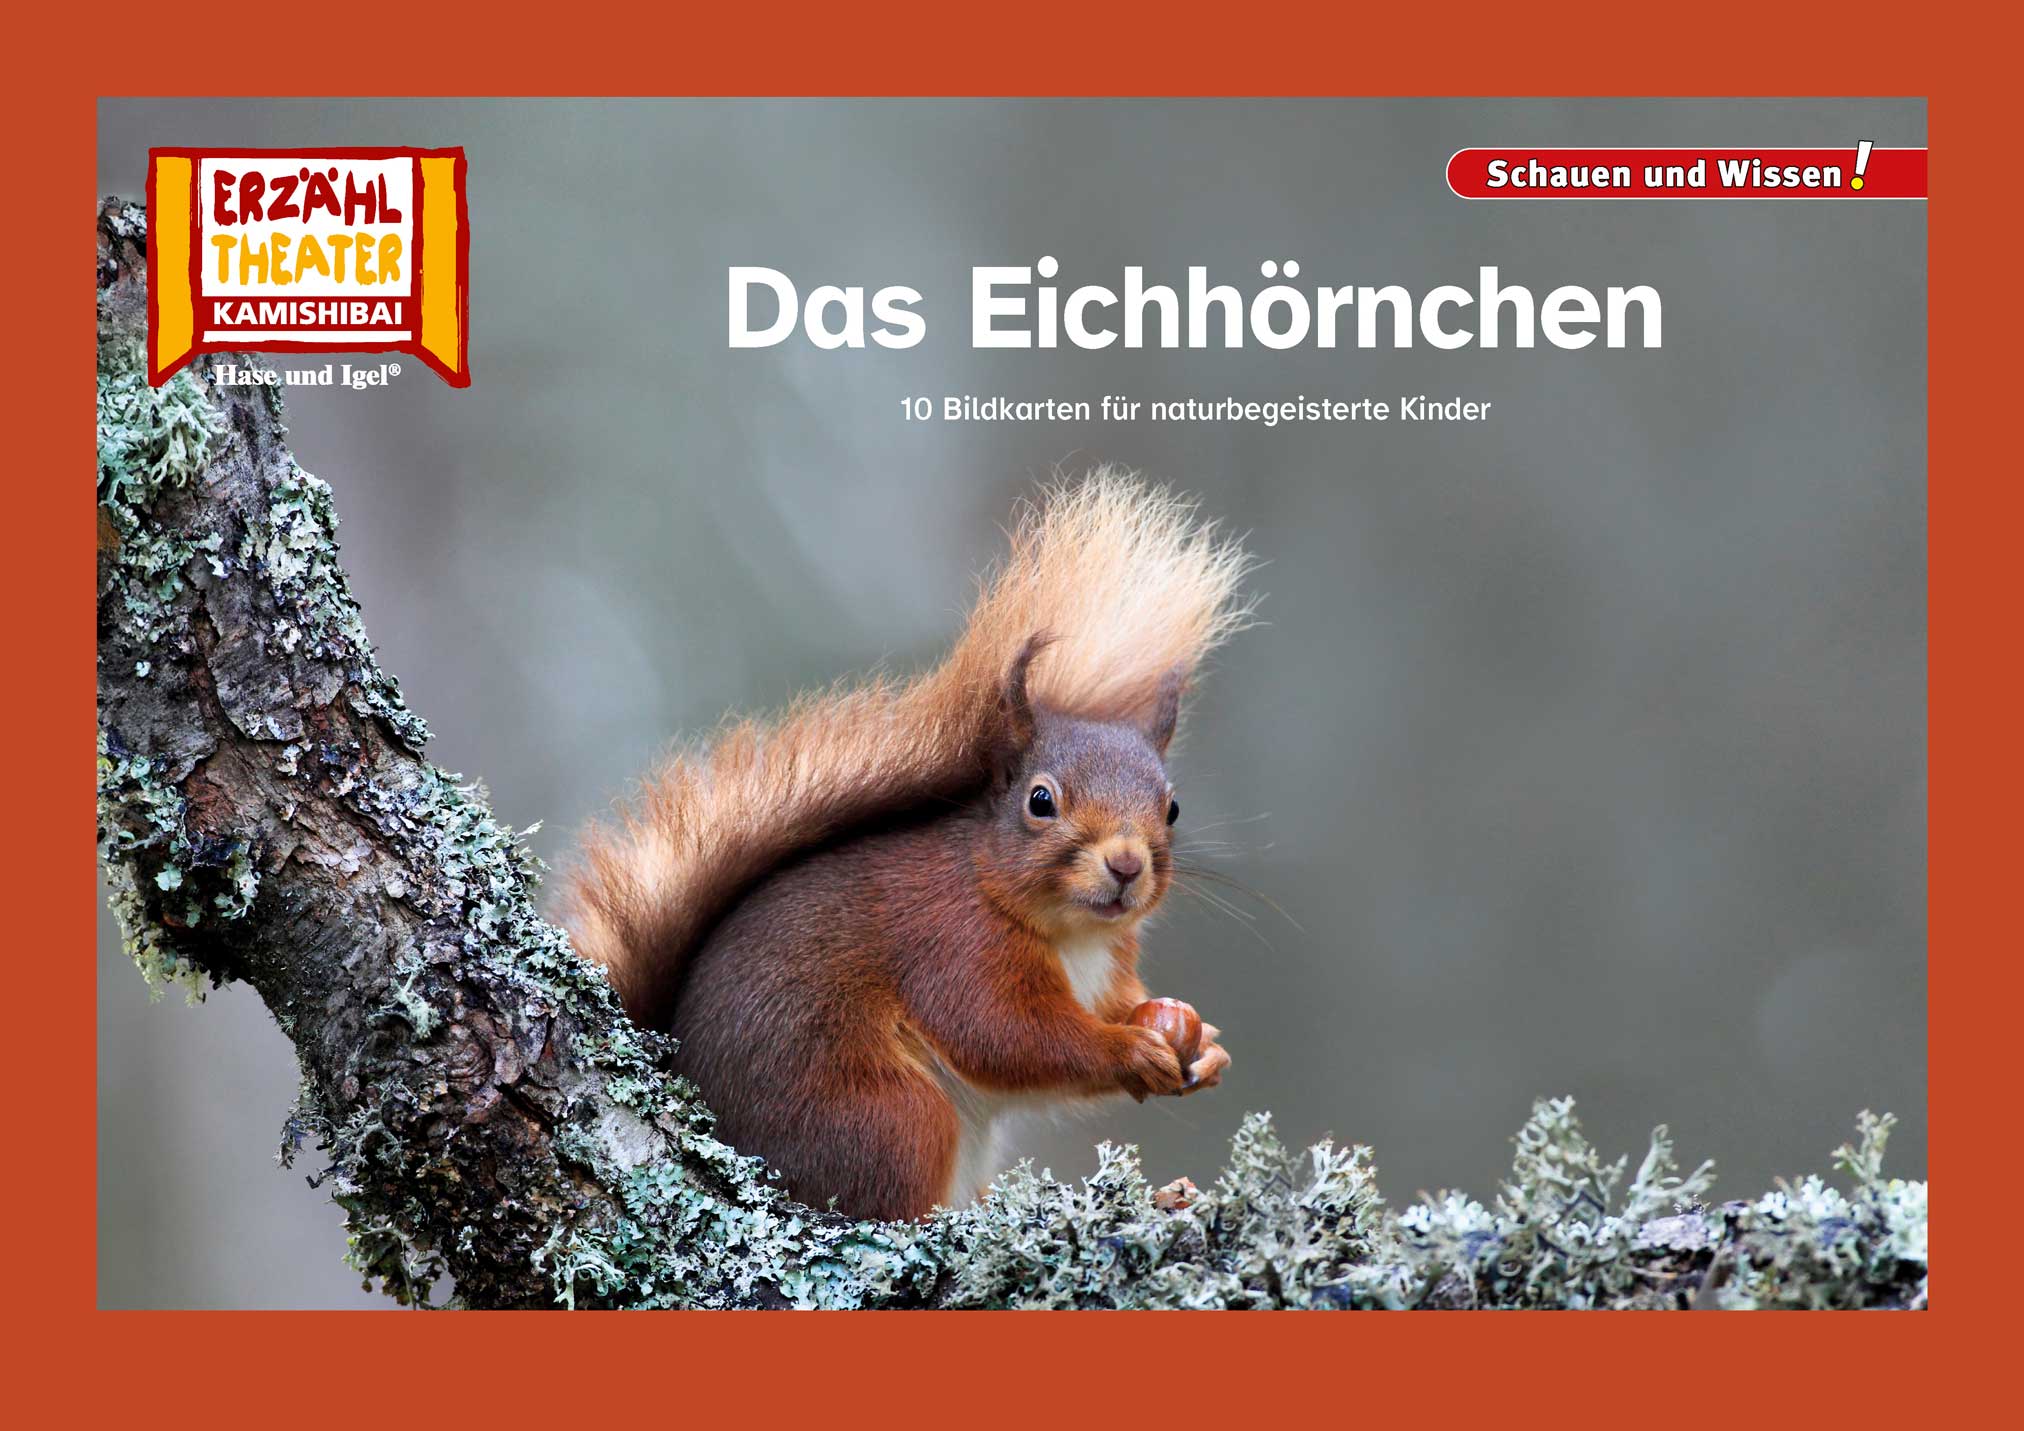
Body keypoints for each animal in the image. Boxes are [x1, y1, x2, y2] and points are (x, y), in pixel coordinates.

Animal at [560, 470, 1255, 1221]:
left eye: (1173, 807)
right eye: (1040, 801)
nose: (1126, 864)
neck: (1073, 935)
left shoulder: (1106, 967)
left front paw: (1196, 1037)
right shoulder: (953, 947)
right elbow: (1007, 1036)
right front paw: (1127, 1049)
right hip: (889, 1116)